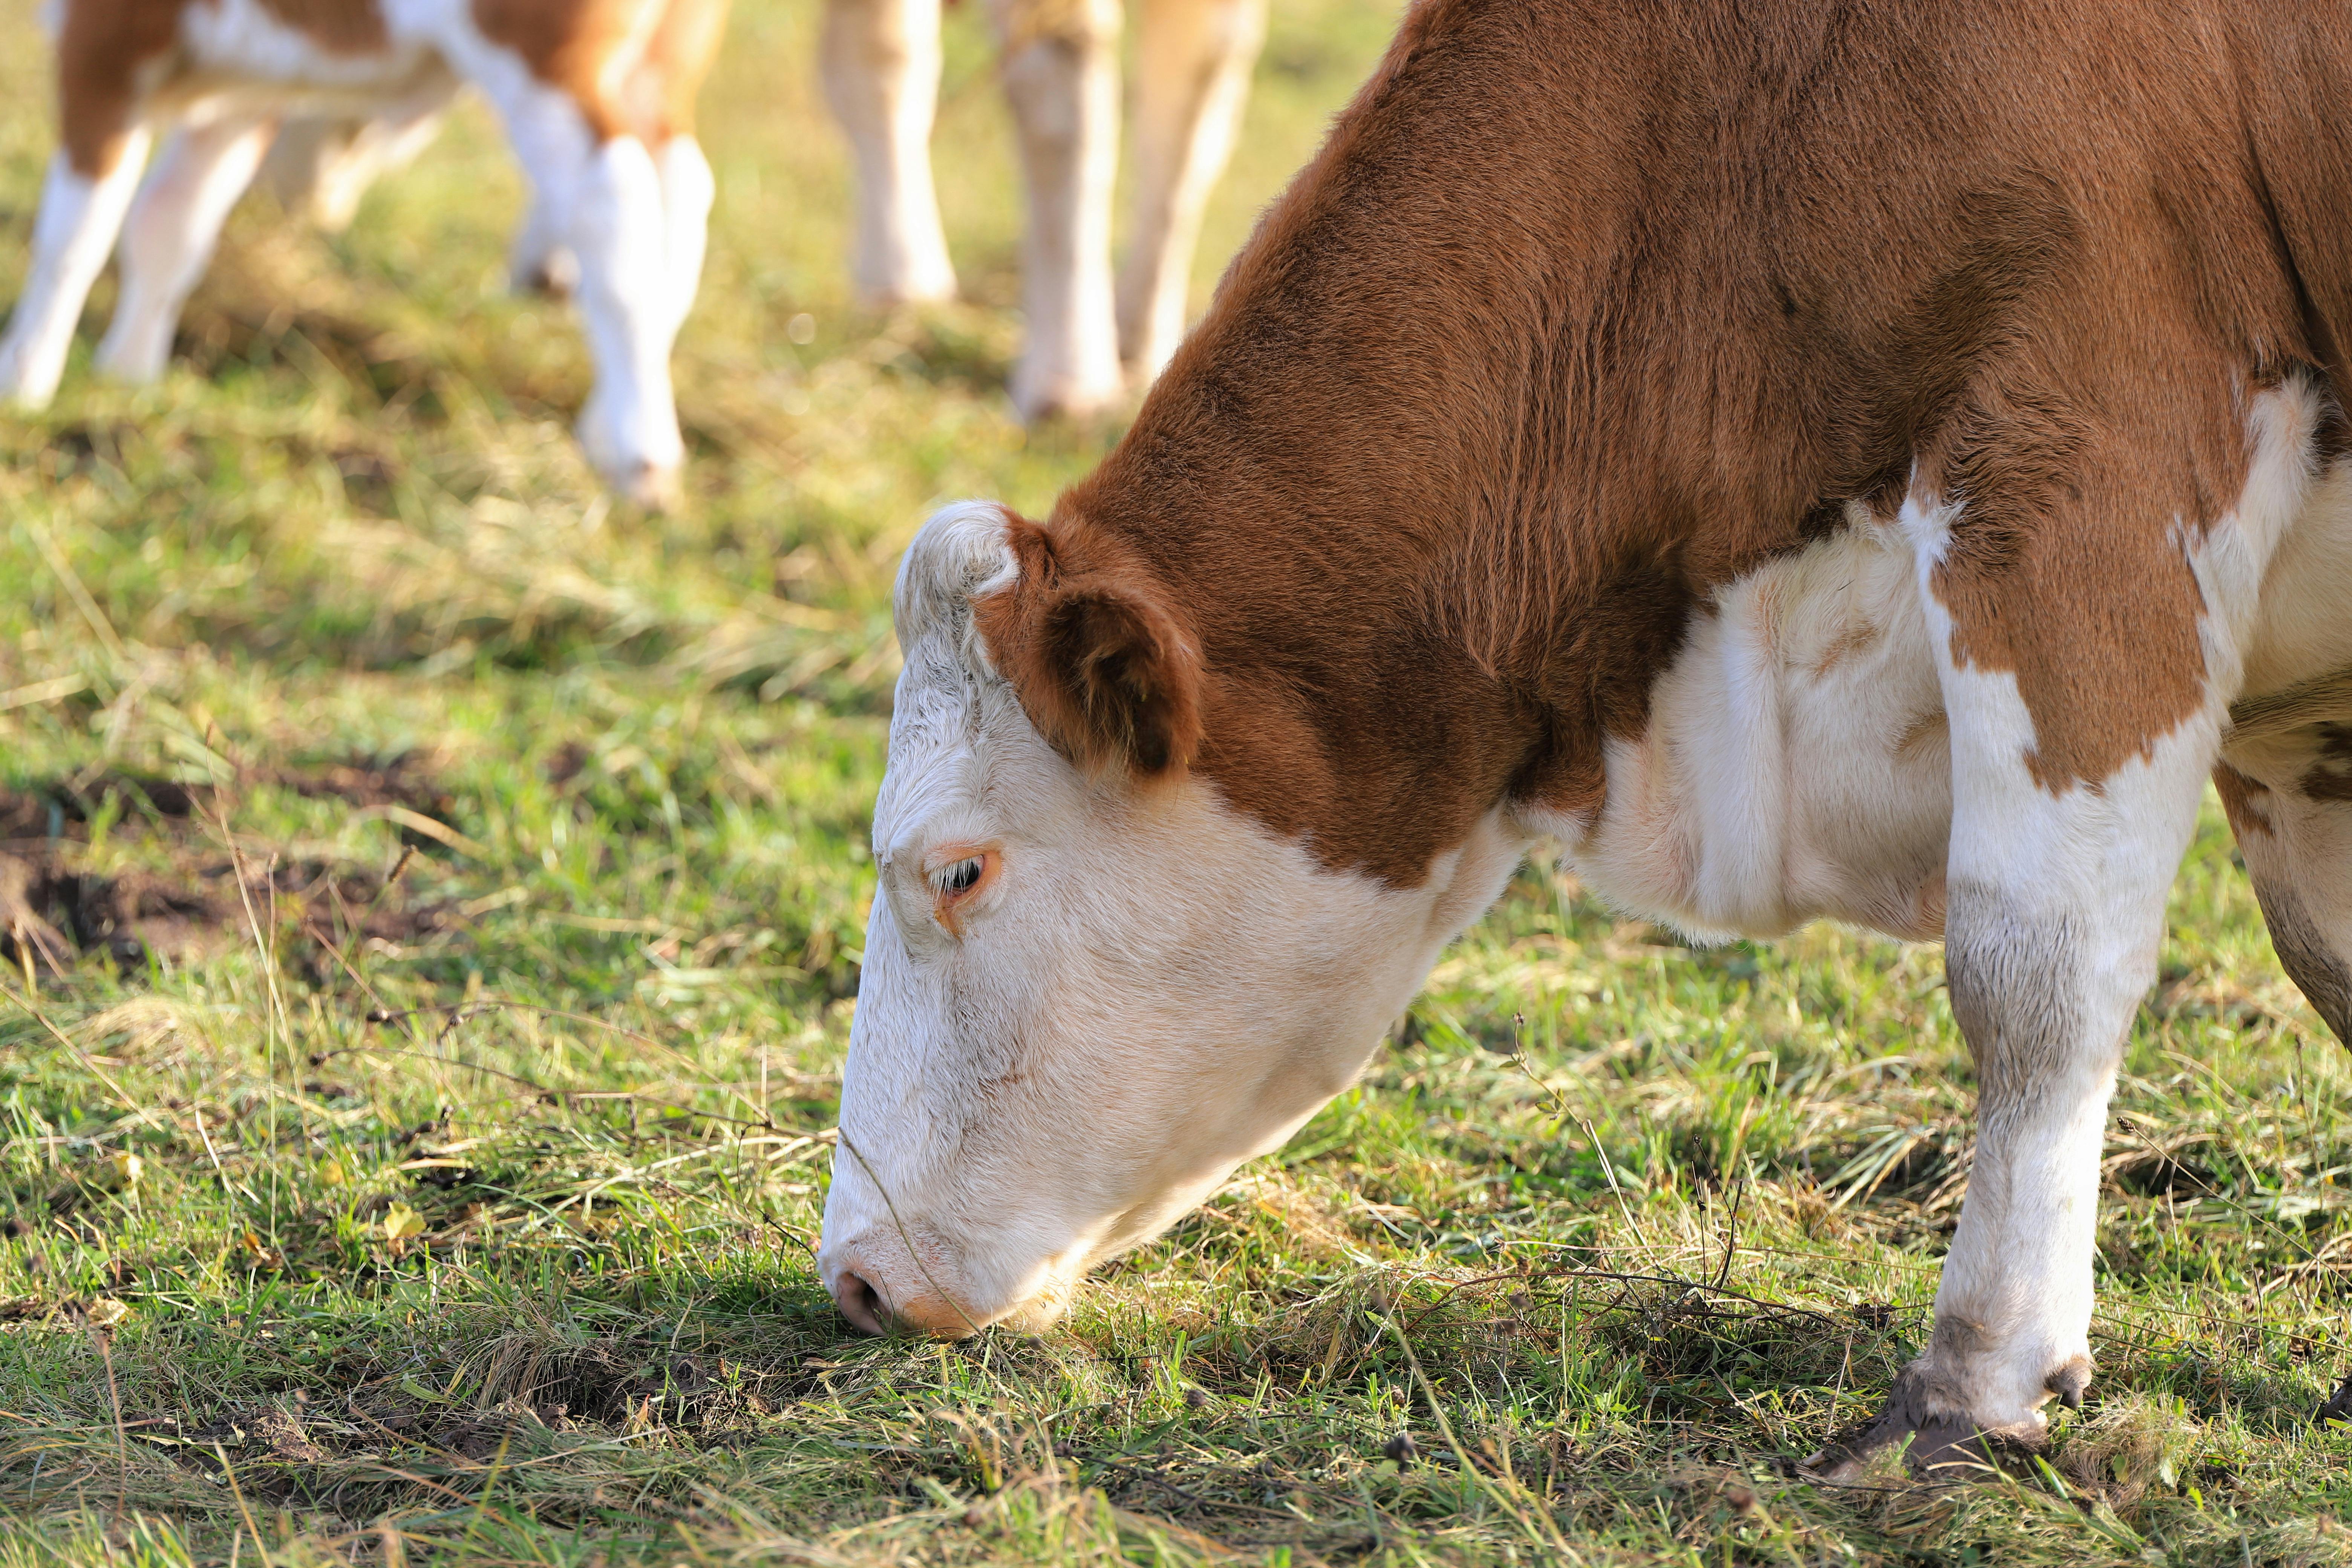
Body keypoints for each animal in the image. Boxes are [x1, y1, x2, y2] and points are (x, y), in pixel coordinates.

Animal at [0, 0, 728, 507]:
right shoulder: (248, 89)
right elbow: (170, 226)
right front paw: (128, 378)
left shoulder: (104, 41)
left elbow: (77, 230)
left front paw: (23, 385)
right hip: (662, 53)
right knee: (679, 184)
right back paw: (612, 423)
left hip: (538, 46)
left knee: (612, 199)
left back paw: (642, 451)